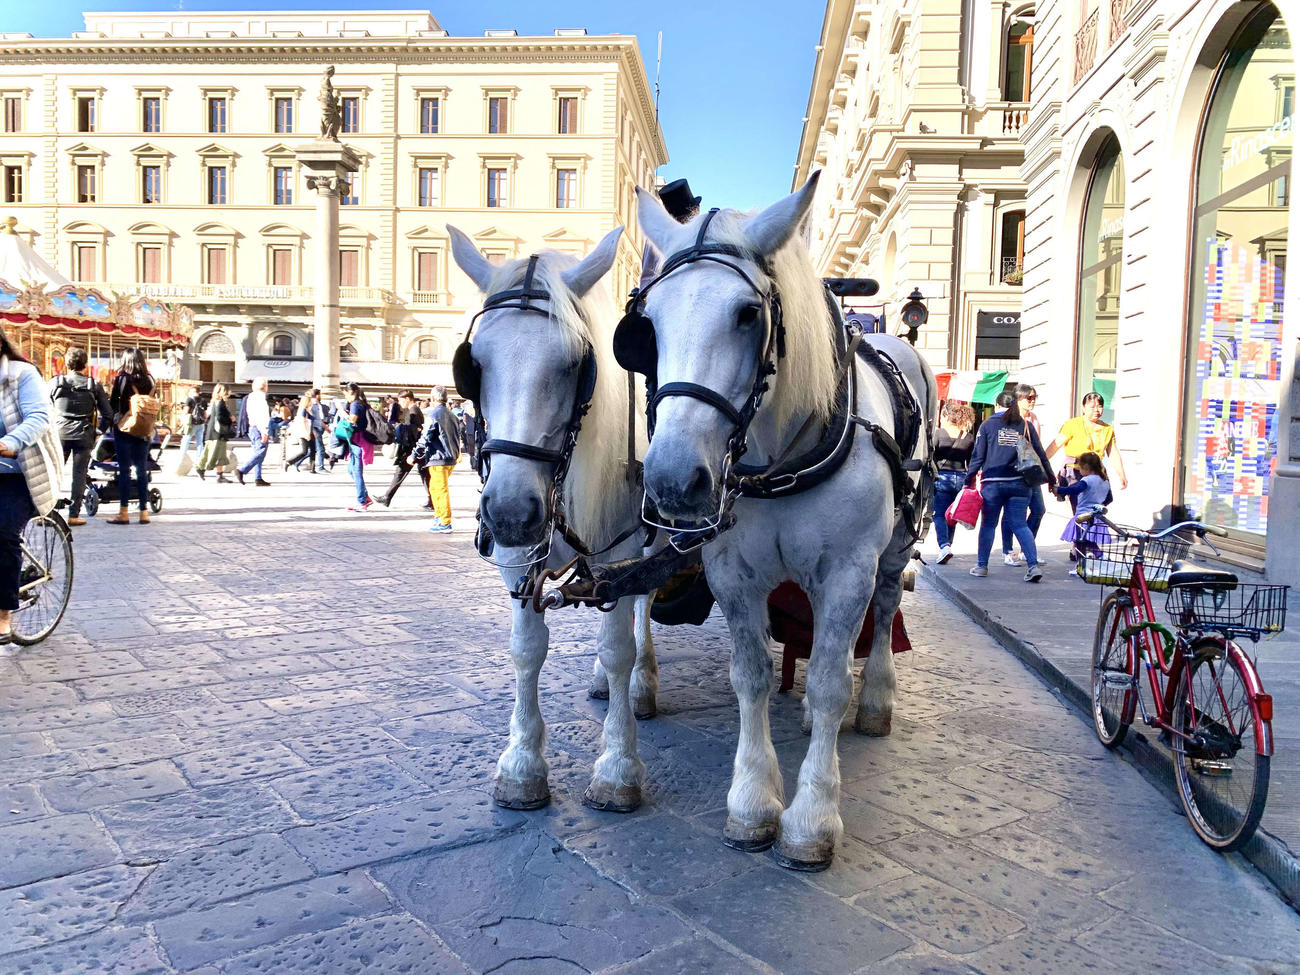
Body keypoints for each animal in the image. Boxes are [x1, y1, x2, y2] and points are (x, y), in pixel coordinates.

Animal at [446, 226, 660, 813]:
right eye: (474, 364)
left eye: (574, 363)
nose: (510, 513)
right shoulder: (518, 556)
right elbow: (526, 650)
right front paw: (521, 764)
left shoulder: (620, 548)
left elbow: (617, 648)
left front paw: (617, 768)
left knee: (642, 605)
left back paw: (640, 684)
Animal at [619, 172, 937, 870]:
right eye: (647, 324)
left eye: (748, 314)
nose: (672, 480)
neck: (782, 457)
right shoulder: (733, 574)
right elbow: (752, 677)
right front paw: (752, 803)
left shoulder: (847, 572)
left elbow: (828, 681)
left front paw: (811, 819)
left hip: (896, 546)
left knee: (881, 613)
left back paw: (876, 698)